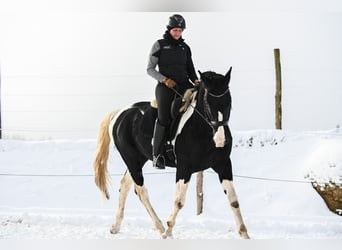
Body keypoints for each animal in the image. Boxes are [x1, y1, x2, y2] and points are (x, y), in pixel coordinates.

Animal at [93, 67, 248, 239]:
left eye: (229, 101)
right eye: (208, 103)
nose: (221, 140)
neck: (202, 129)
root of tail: (120, 113)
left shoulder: (223, 165)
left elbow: (233, 200)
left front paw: (244, 234)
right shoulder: (184, 168)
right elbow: (179, 201)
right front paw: (167, 232)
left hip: (140, 158)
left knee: (126, 185)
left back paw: (116, 227)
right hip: (131, 157)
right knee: (141, 189)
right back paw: (160, 228)